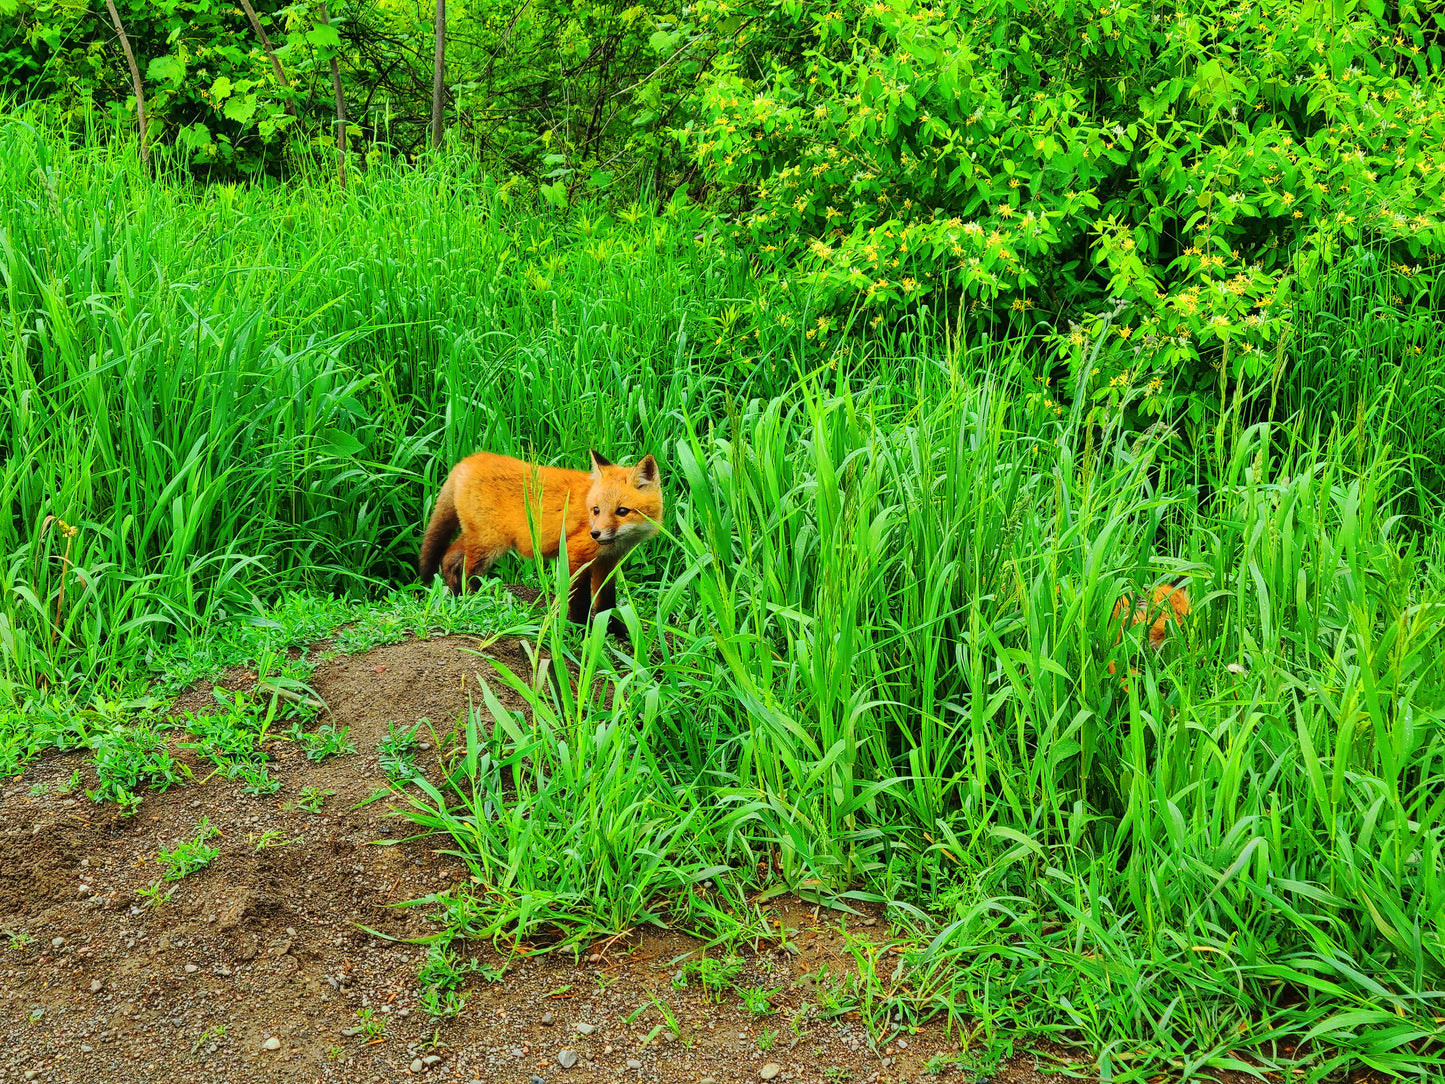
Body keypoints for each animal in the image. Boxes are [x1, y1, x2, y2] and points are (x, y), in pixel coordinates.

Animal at [418, 449, 663, 628]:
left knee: (449, 560)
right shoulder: (575, 553)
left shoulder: (607, 562)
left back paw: (458, 597)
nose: (595, 534)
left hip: (477, 538)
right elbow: (580, 599)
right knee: (467, 572)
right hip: (489, 544)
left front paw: (614, 630)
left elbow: (605, 602)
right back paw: (478, 600)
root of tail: (470, 459)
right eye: (596, 510)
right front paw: (581, 628)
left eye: (622, 511)